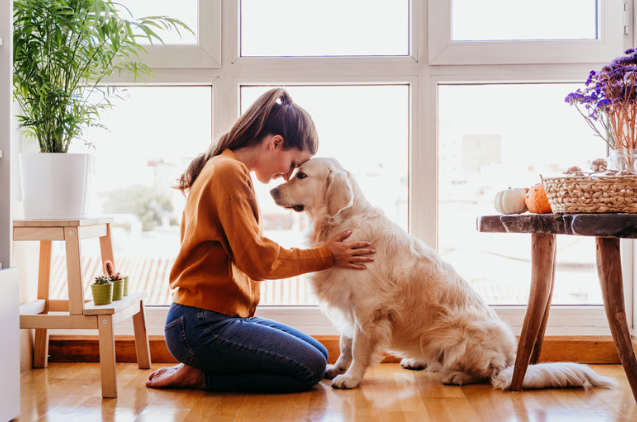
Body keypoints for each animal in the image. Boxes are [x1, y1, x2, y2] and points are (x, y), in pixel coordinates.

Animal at [270, 159, 616, 392]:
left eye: (301, 175)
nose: (271, 189)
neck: (339, 223)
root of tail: (511, 360)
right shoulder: (348, 304)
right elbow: (345, 342)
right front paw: (337, 367)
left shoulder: (368, 309)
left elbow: (359, 348)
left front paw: (351, 378)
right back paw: (418, 361)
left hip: (459, 335)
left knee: (486, 373)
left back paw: (456, 375)